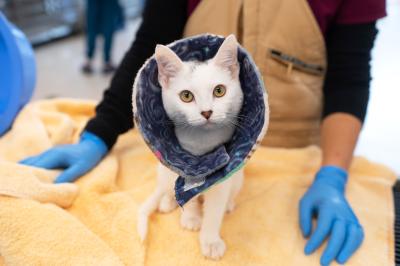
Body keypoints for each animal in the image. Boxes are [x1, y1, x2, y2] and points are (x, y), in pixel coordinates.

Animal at [138, 35, 244, 260]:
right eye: (186, 96)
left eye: (219, 91)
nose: (206, 112)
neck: (201, 144)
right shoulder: (181, 166)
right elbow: (186, 193)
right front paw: (191, 218)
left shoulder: (222, 179)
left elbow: (214, 211)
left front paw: (210, 241)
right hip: (163, 170)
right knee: (166, 188)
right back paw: (167, 202)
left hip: (238, 177)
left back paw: (229, 204)